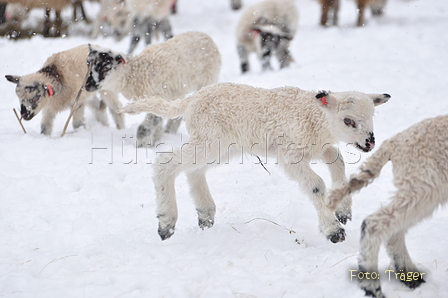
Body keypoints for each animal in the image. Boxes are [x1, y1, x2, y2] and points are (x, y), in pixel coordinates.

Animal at [83, 30, 220, 147]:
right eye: (88, 63)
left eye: (105, 68)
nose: (87, 85)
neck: (134, 74)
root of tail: (206, 36)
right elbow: (157, 121)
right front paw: (156, 140)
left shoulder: (157, 95)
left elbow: (144, 128)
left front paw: (143, 147)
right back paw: (169, 130)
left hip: (208, 79)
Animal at [120, 82, 392, 242]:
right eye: (348, 120)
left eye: (372, 115)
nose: (369, 142)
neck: (315, 118)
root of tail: (191, 99)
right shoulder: (290, 155)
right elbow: (316, 185)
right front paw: (333, 229)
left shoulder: (317, 147)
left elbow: (338, 162)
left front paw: (344, 211)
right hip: (211, 140)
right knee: (166, 162)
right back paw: (166, 222)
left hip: (222, 146)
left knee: (193, 170)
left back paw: (205, 215)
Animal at [326, 113, 448, 298]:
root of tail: (395, 142)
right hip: (424, 184)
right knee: (375, 224)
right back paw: (373, 288)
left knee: (394, 231)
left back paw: (410, 277)